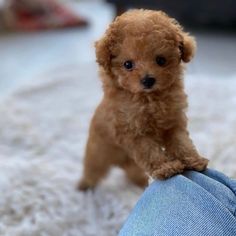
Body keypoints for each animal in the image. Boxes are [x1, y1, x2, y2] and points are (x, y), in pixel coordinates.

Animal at [79, 9, 208, 191]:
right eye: (128, 64)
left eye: (161, 60)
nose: (148, 80)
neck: (148, 99)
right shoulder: (134, 133)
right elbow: (149, 152)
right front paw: (166, 168)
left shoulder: (173, 124)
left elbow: (182, 143)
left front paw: (194, 161)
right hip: (99, 150)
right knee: (93, 167)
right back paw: (85, 185)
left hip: (129, 162)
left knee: (131, 171)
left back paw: (139, 182)